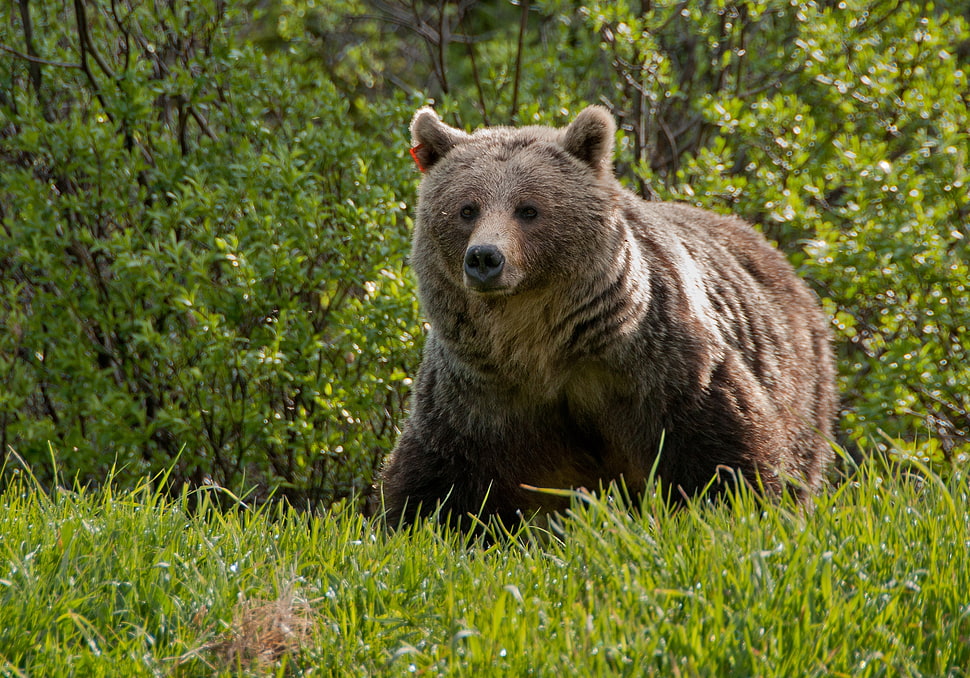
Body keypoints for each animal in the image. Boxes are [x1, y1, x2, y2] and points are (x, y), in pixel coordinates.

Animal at [378, 105, 837, 528]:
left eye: (528, 209)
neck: (538, 345)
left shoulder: (661, 370)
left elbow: (725, 455)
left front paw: (740, 509)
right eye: (466, 209)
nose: (485, 258)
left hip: (801, 382)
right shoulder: (477, 398)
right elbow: (439, 481)